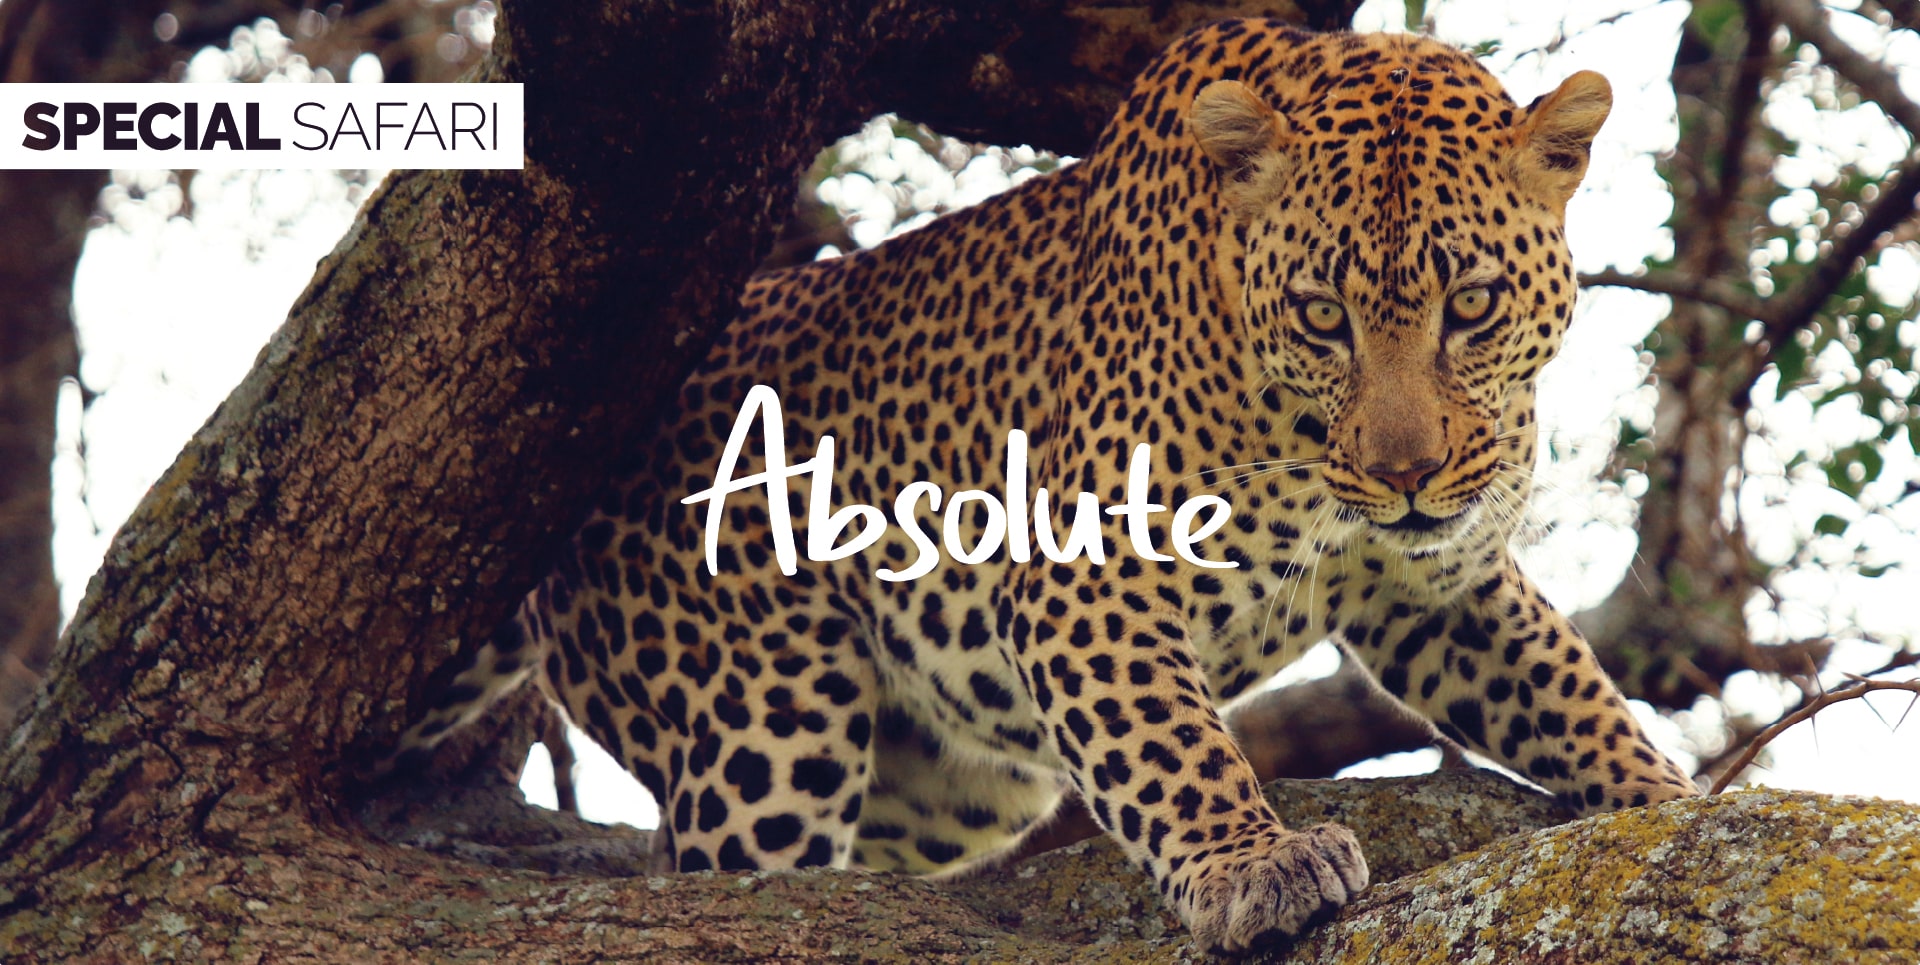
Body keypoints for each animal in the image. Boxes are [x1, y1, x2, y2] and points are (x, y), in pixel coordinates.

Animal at [387, 20, 1701, 954]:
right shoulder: (1089, 575)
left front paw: (1665, 797)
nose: (1407, 471)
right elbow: (1172, 744)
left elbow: (1566, 688)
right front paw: (1252, 864)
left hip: (940, 785)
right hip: (766, 721)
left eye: (1470, 304)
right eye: (1324, 316)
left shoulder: (1434, 583)